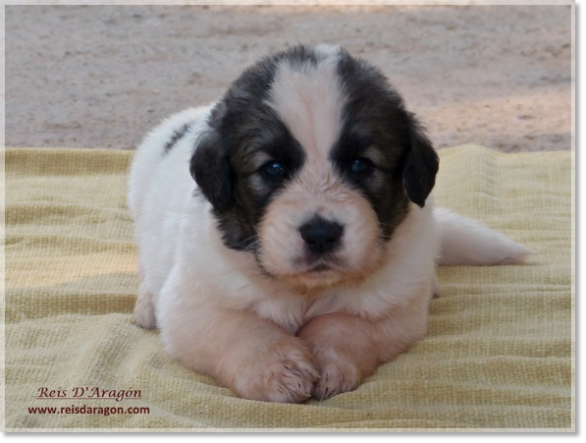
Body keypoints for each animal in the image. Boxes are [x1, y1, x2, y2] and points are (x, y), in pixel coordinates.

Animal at [128, 44, 528, 402]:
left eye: (361, 165)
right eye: (272, 168)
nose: (321, 235)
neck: (305, 291)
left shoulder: (396, 305)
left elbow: (348, 322)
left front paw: (329, 361)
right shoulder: (194, 299)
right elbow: (238, 327)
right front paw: (276, 370)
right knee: (146, 262)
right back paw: (146, 303)